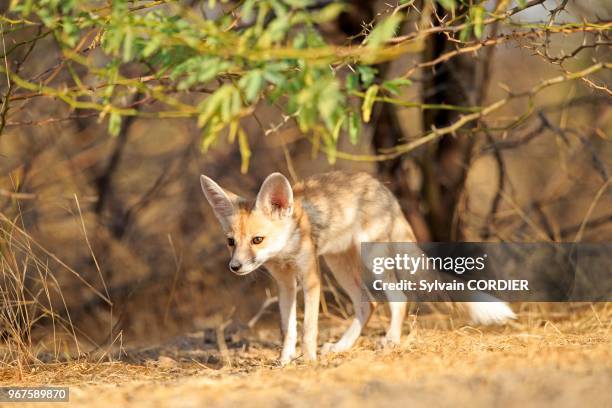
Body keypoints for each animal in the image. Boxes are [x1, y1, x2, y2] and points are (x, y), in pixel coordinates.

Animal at [202, 171, 516, 364]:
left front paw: (308, 360)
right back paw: (342, 346)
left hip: (372, 260)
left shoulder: (310, 277)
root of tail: (383, 189)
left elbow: (308, 328)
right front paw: (284, 360)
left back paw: (390, 340)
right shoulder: (285, 283)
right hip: (340, 265)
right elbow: (287, 329)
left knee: (398, 298)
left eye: (257, 240)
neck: (286, 249)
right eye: (231, 242)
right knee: (368, 305)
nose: (235, 266)